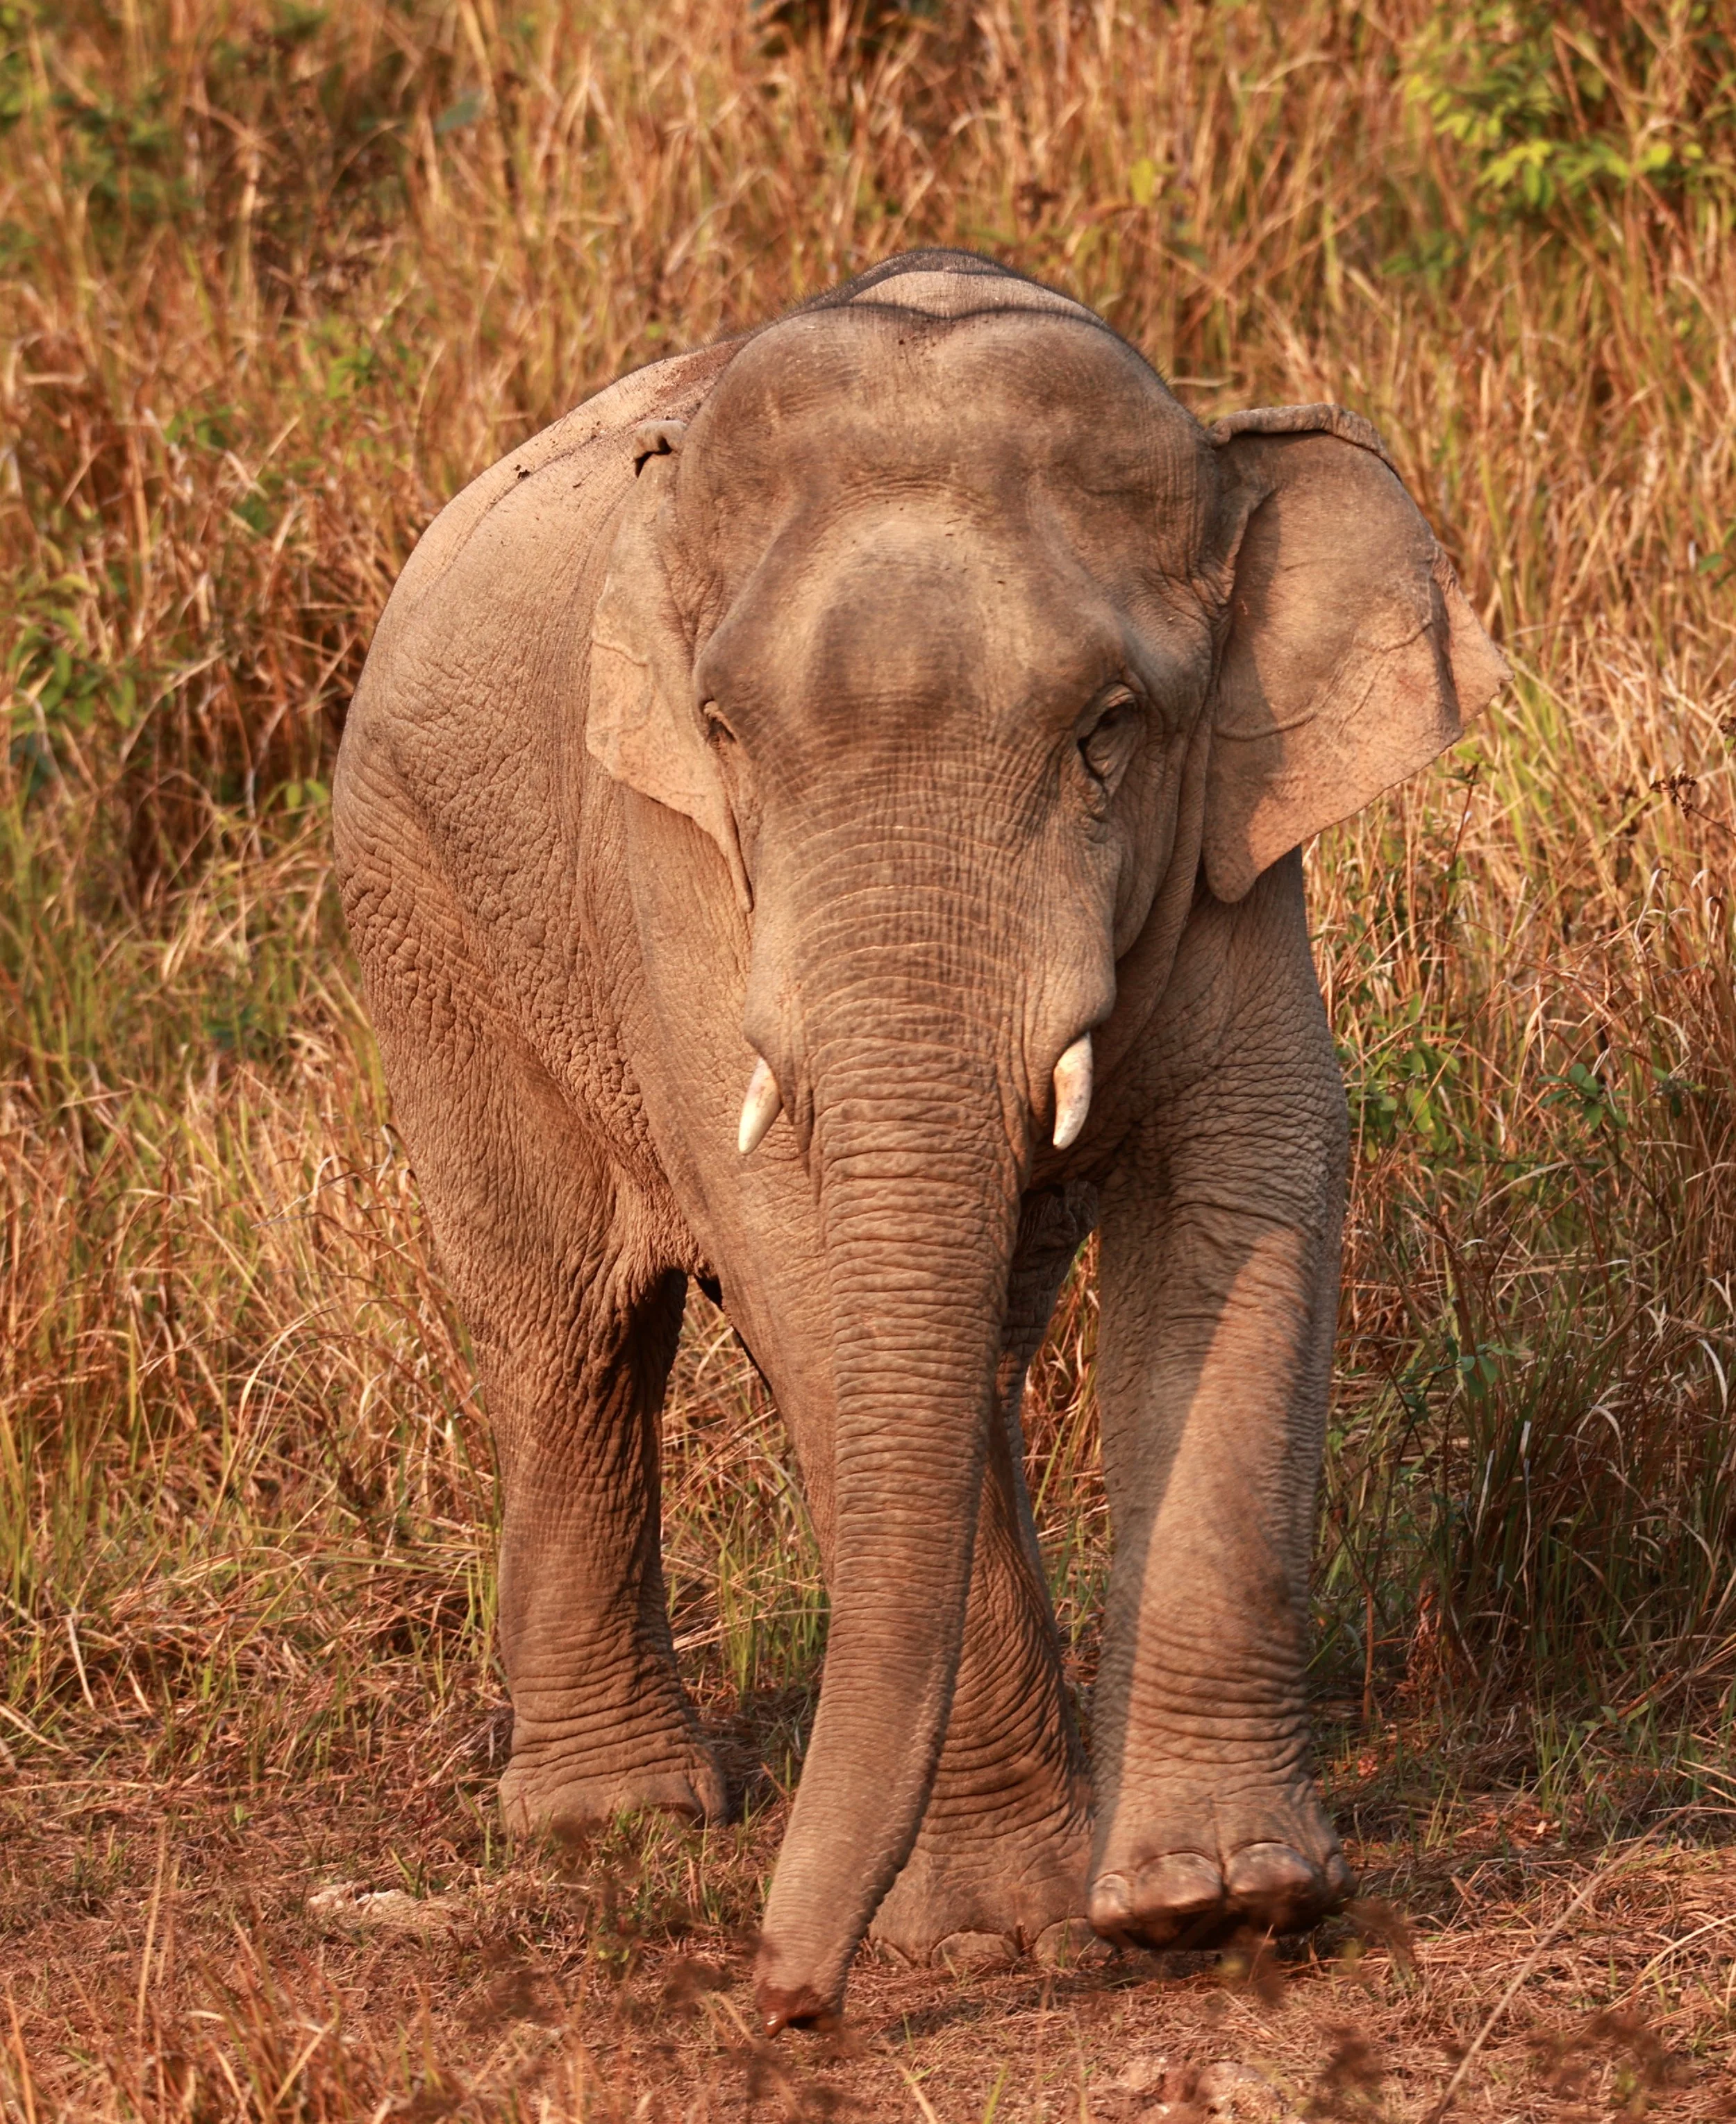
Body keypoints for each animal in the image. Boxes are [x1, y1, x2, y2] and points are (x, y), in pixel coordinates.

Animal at [332, 249, 1505, 2033]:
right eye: (726, 733)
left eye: (1108, 727)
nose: (783, 1998)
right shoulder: (679, 872)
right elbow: (793, 1243)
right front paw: (993, 1931)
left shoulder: (1232, 847)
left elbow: (1250, 1172)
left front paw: (1216, 1905)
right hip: (427, 921)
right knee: (567, 1334)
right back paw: (616, 1819)